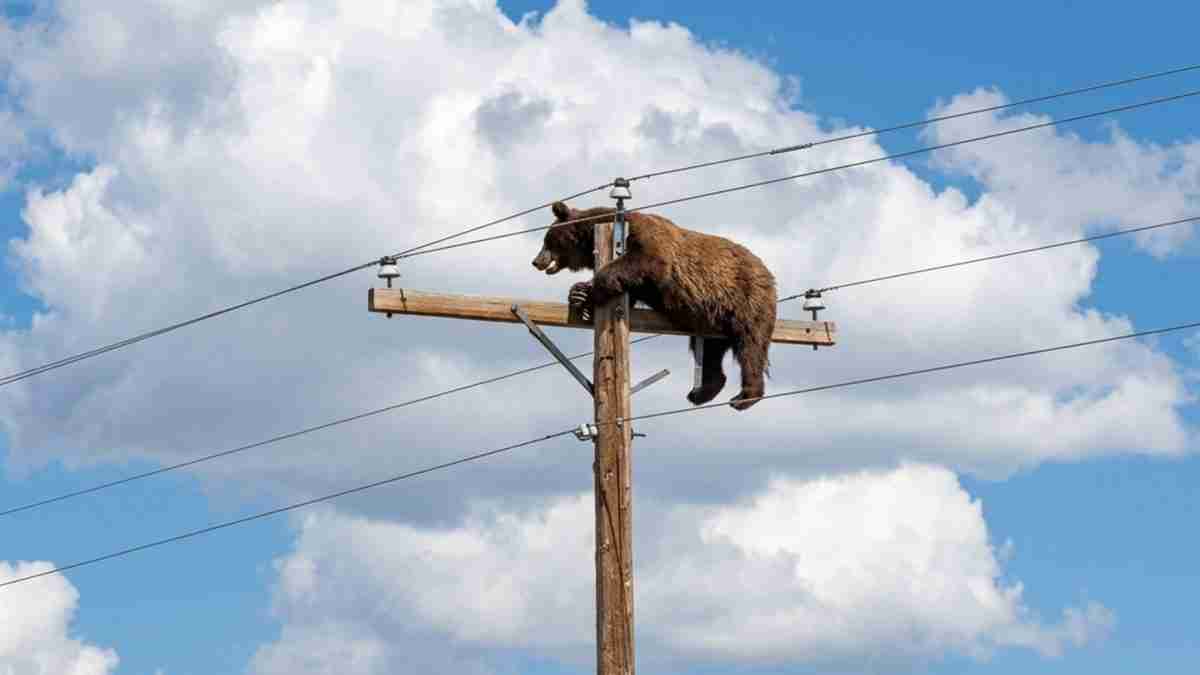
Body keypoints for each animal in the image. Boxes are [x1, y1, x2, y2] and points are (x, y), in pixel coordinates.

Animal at [531, 201, 777, 411]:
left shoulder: (647, 242)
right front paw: (579, 294)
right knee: (710, 351)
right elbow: (626, 290)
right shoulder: (639, 284)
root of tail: (766, 271)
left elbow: (644, 261)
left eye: (546, 239)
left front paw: (588, 291)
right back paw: (701, 392)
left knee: (750, 345)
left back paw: (744, 396)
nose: (536, 261)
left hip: (746, 299)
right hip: (711, 317)